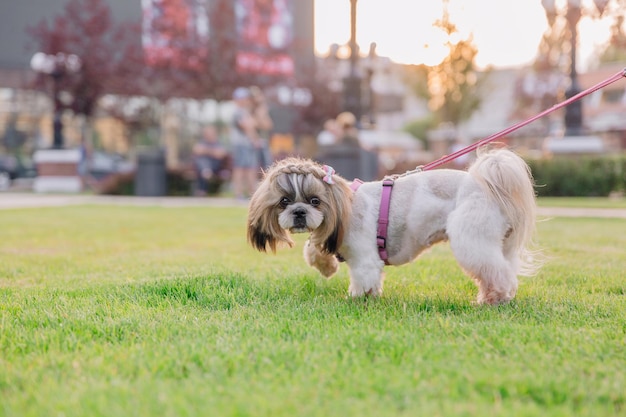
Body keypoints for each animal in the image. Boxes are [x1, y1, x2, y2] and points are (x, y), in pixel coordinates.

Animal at [245, 148, 536, 304]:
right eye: (284, 201)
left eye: (315, 201)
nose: (299, 212)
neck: (344, 207)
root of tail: (487, 186)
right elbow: (314, 248)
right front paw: (326, 266)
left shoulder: (364, 257)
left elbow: (364, 278)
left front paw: (359, 299)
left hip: (471, 237)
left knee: (497, 272)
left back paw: (496, 298)